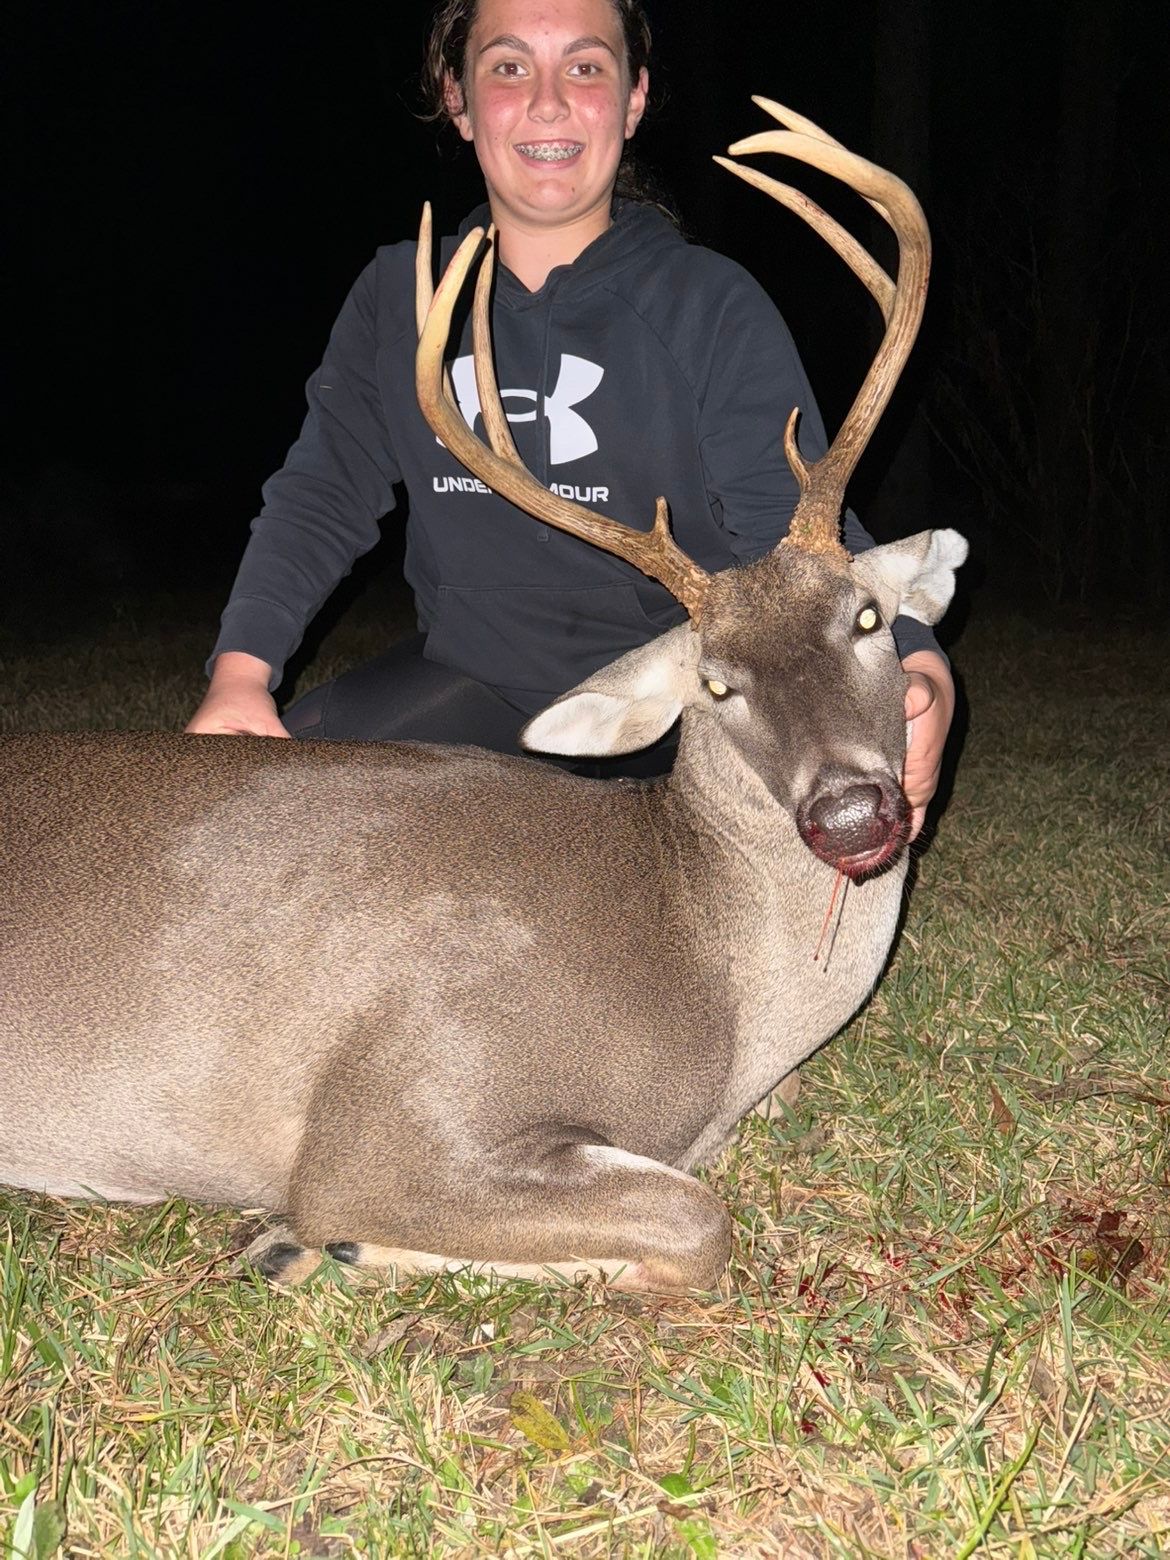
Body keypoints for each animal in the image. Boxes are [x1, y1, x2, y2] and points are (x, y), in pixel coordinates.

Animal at [0, 102, 966, 1294]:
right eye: (716, 683)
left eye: (868, 620)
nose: (850, 812)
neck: (711, 978)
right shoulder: (401, 1103)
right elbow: (698, 1223)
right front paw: (311, 1242)